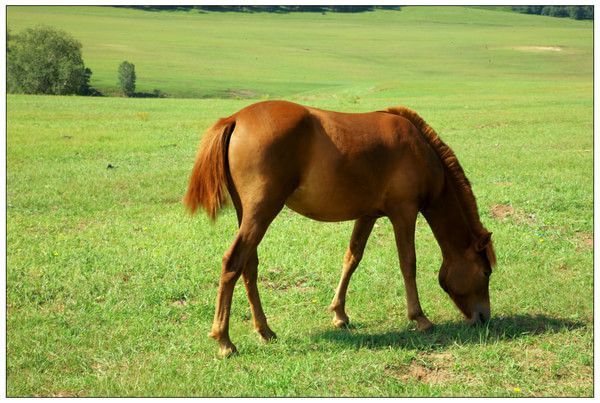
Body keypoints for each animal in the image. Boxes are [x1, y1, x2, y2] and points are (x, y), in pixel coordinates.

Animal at [184, 100, 496, 356]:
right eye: (486, 272)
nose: (484, 317)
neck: (419, 150)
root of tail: (235, 118)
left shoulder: (368, 215)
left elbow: (352, 258)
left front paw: (339, 314)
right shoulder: (404, 213)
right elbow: (408, 263)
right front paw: (419, 317)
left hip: (248, 215)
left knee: (248, 267)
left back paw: (265, 331)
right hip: (262, 212)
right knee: (233, 263)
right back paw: (224, 340)